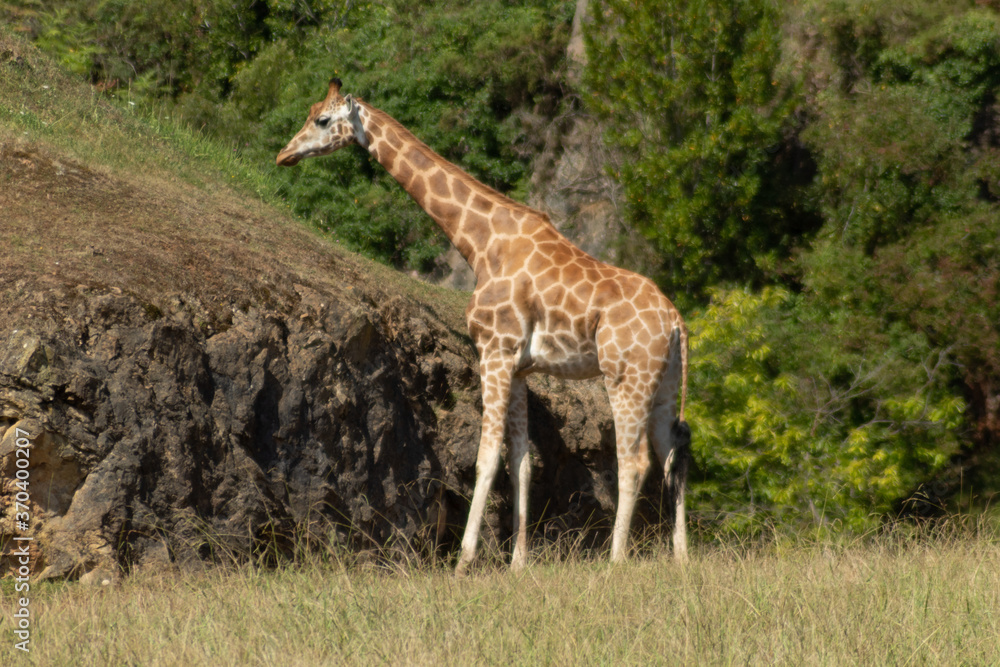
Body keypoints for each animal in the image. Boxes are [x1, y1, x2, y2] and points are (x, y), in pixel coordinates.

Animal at [277, 79, 690, 574]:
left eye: (321, 120)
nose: (283, 155)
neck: (479, 242)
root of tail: (676, 321)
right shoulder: (520, 365)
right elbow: (522, 461)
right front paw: (518, 563)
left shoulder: (494, 350)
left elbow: (486, 458)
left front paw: (464, 560)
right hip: (663, 384)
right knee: (674, 454)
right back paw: (682, 557)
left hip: (625, 376)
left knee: (634, 462)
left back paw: (615, 561)